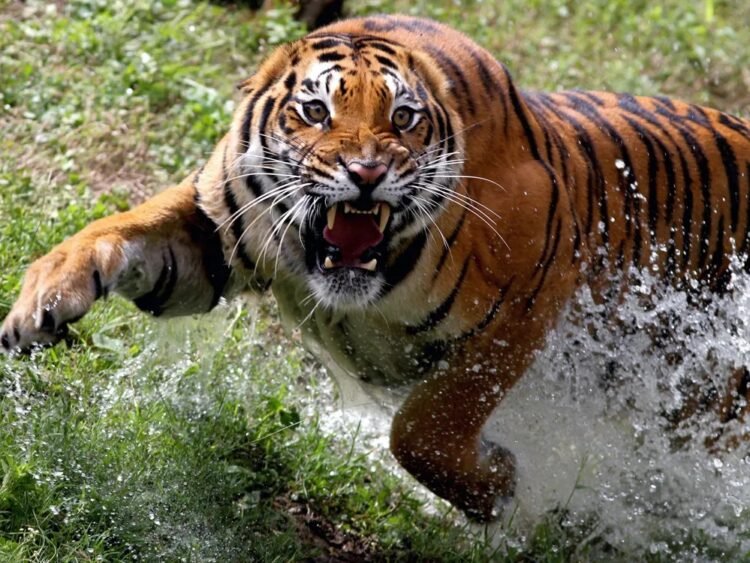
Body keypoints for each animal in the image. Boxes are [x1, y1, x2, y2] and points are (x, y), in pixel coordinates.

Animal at [3, 14, 750, 522]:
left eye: (404, 118)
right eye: (315, 111)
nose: (366, 172)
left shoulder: (529, 301)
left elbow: (425, 425)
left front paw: (498, 483)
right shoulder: (210, 239)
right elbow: (117, 231)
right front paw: (38, 305)